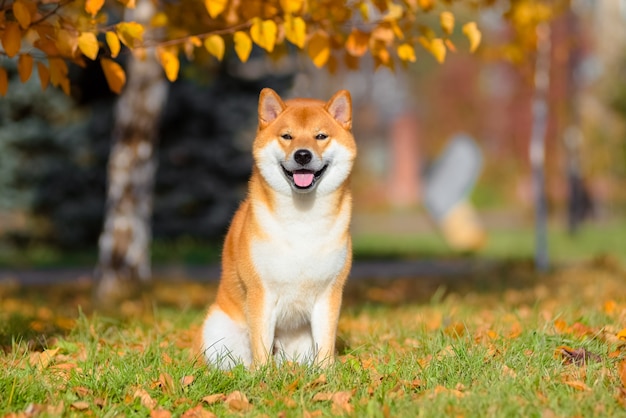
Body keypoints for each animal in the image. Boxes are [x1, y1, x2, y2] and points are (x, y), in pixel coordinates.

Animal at [200, 88, 356, 370]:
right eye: (287, 136)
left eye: (320, 136)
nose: (303, 154)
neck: (303, 219)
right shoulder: (261, 291)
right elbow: (261, 342)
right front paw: (263, 374)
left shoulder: (329, 293)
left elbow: (325, 344)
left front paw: (325, 373)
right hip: (218, 331)